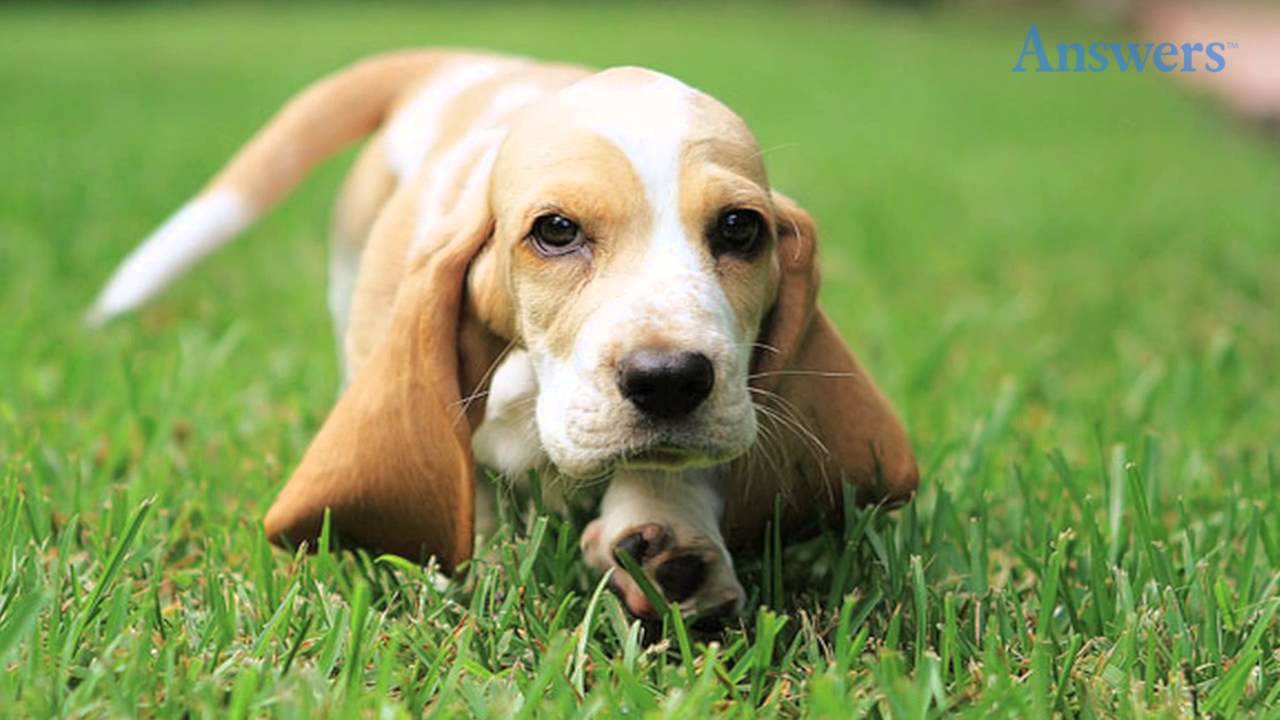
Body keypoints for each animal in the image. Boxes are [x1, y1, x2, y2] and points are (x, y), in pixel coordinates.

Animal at [87, 50, 911, 620]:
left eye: (740, 228)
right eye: (556, 230)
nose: (670, 379)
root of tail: (449, 60)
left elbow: (676, 470)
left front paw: (671, 548)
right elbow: (468, 495)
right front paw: (485, 576)